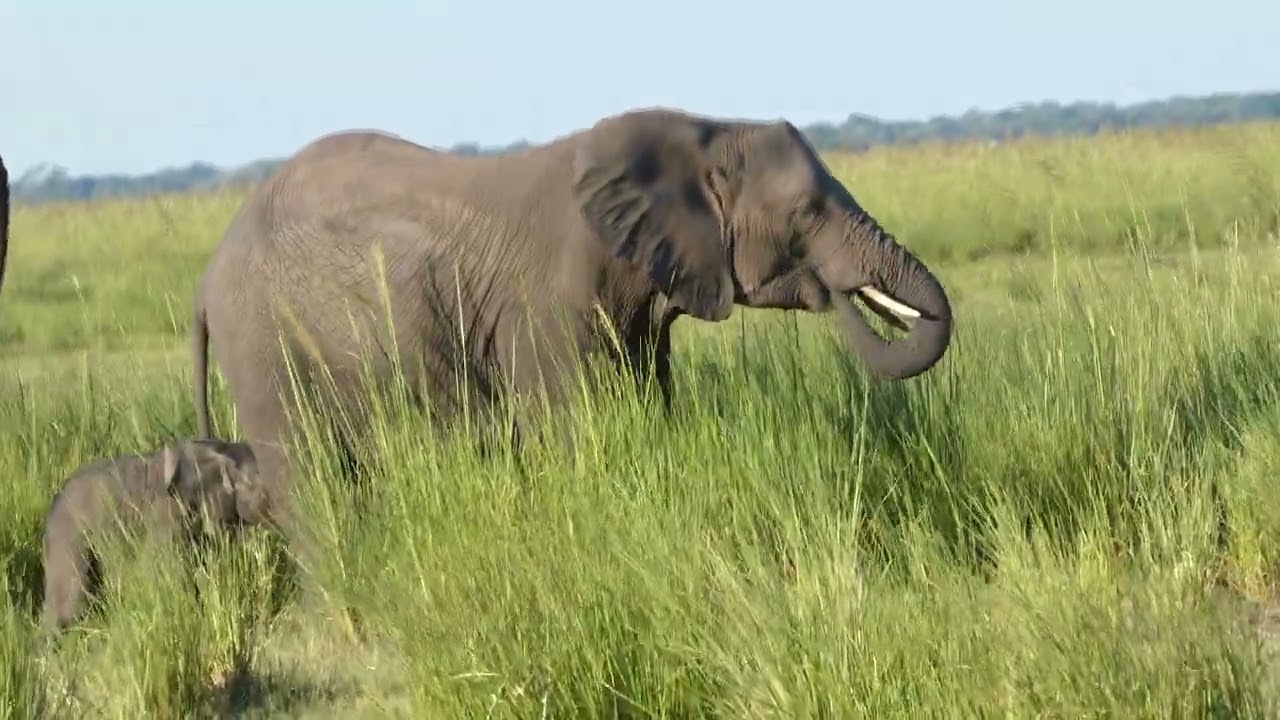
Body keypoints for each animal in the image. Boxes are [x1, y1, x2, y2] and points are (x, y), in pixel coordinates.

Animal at [190, 106, 953, 556]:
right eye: (806, 213)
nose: (838, 290)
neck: (700, 130)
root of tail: (206, 277)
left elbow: (648, 406)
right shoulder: (549, 305)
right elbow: (576, 428)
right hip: (263, 343)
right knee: (310, 478)